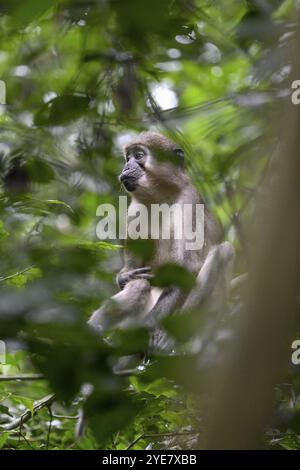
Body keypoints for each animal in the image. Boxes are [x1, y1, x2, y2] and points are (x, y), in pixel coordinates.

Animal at [88, 132, 233, 342]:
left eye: (139, 155)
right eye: (127, 158)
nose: (126, 166)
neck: (160, 198)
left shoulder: (189, 197)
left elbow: (188, 268)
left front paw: (152, 329)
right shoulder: (134, 209)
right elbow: (132, 272)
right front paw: (124, 276)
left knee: (224, 251)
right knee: (139, 285)